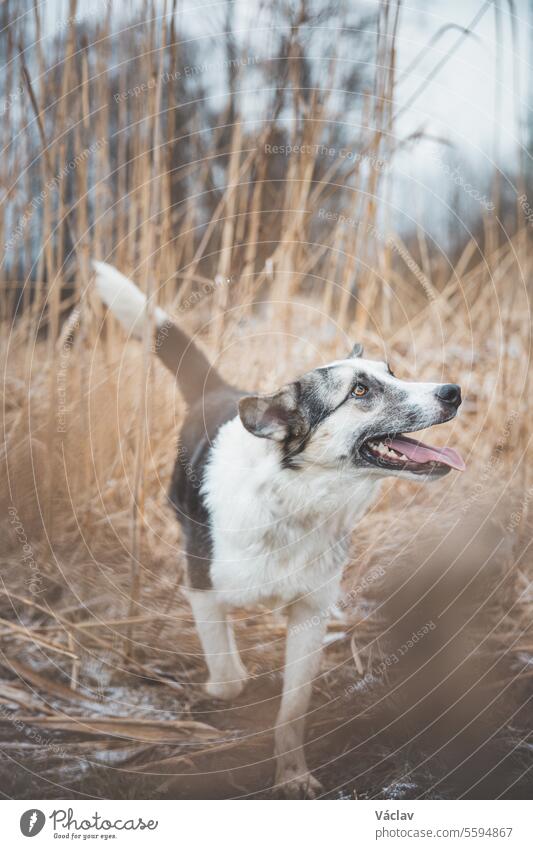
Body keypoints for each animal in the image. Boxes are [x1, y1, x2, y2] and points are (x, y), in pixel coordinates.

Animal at [93, 262, 464, 800]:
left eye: (392, 372)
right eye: (359, 391)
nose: (453, 391)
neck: (294, 501)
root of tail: (217, 388)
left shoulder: (311, 612)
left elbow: (292, 711)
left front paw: (292, 775)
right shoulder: (202, 586)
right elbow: (228, 675)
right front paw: (226, 685)